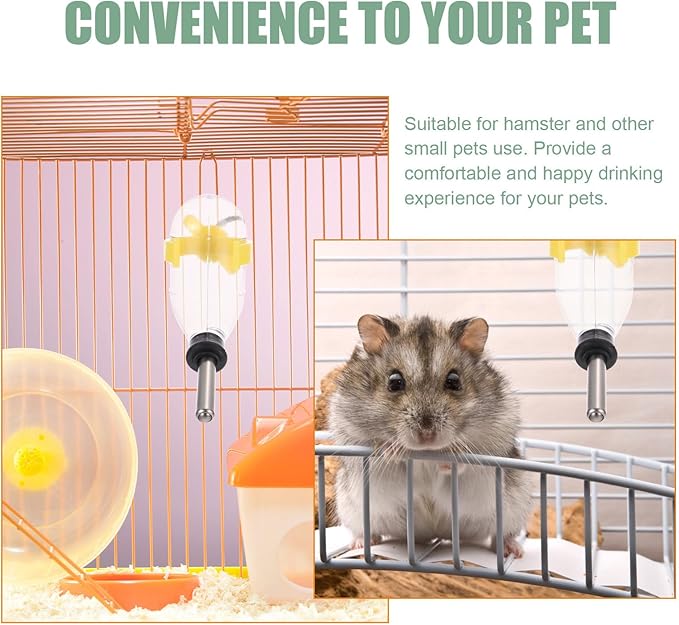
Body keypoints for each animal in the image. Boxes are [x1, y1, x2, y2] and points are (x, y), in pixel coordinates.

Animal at [328, 314, 532, 557]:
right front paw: (393, 450)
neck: (426, 453)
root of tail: (435, 535)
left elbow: (466, 461)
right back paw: (360, 543)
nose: (427, 435)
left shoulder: (494, 439)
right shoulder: (354, 439)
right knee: (366, 531)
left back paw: (513, 550)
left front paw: (448, 459)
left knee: (500, 536)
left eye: (454, 381)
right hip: (352, 510)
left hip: (513, 510)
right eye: (394, 381)